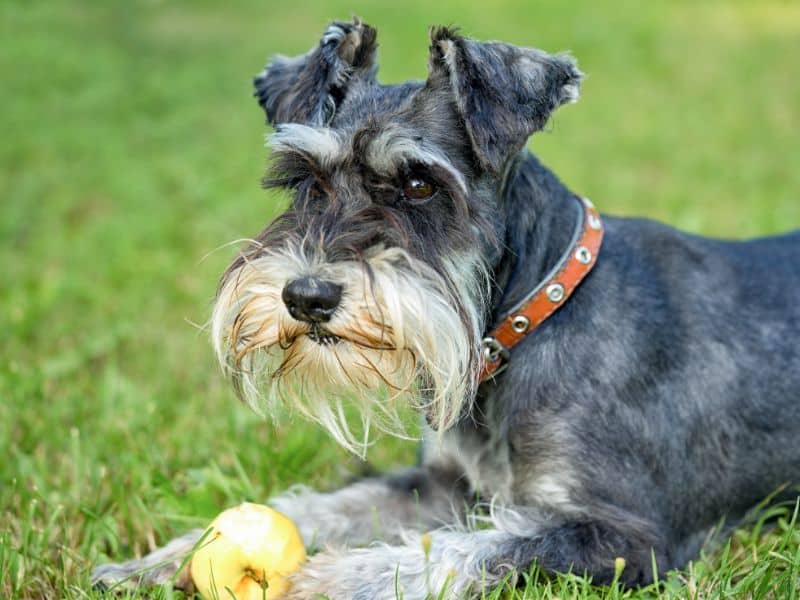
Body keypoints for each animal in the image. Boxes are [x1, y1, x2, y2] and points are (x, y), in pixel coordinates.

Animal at [90, 19, 796, 600]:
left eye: (419, 183)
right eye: (305, 178)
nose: (307, 297)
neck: (531, 319)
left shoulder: (626, 536)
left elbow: (475, 549)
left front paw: (339, 577)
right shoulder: (441, 484)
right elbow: (331, 506)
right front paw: (171, 556)